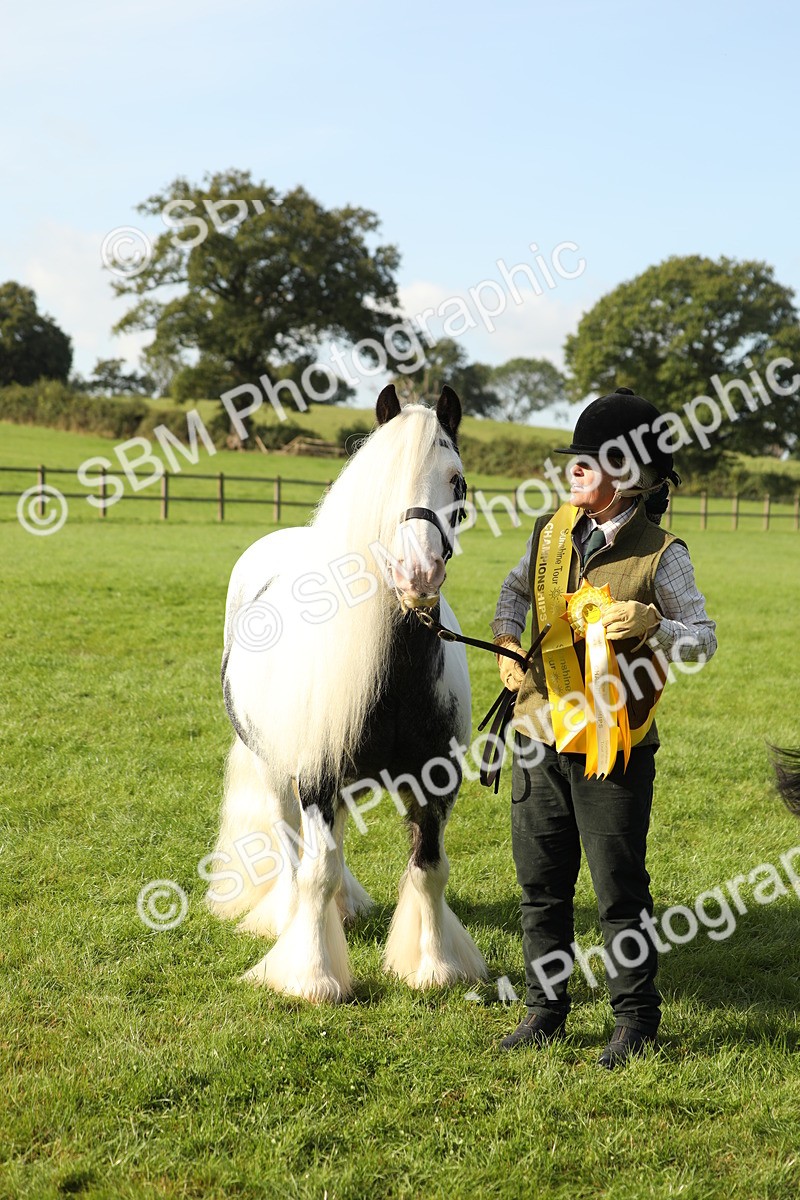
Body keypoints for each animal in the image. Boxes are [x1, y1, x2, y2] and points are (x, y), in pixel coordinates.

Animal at [206, 383, 487, 1003]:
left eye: (456, 480)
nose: (417, 574)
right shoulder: (316, 779)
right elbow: (317, 868)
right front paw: (312, 975)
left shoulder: (436, 783)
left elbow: (429, 869)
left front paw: (434, 964)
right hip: (274, 768)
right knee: (292, 845)